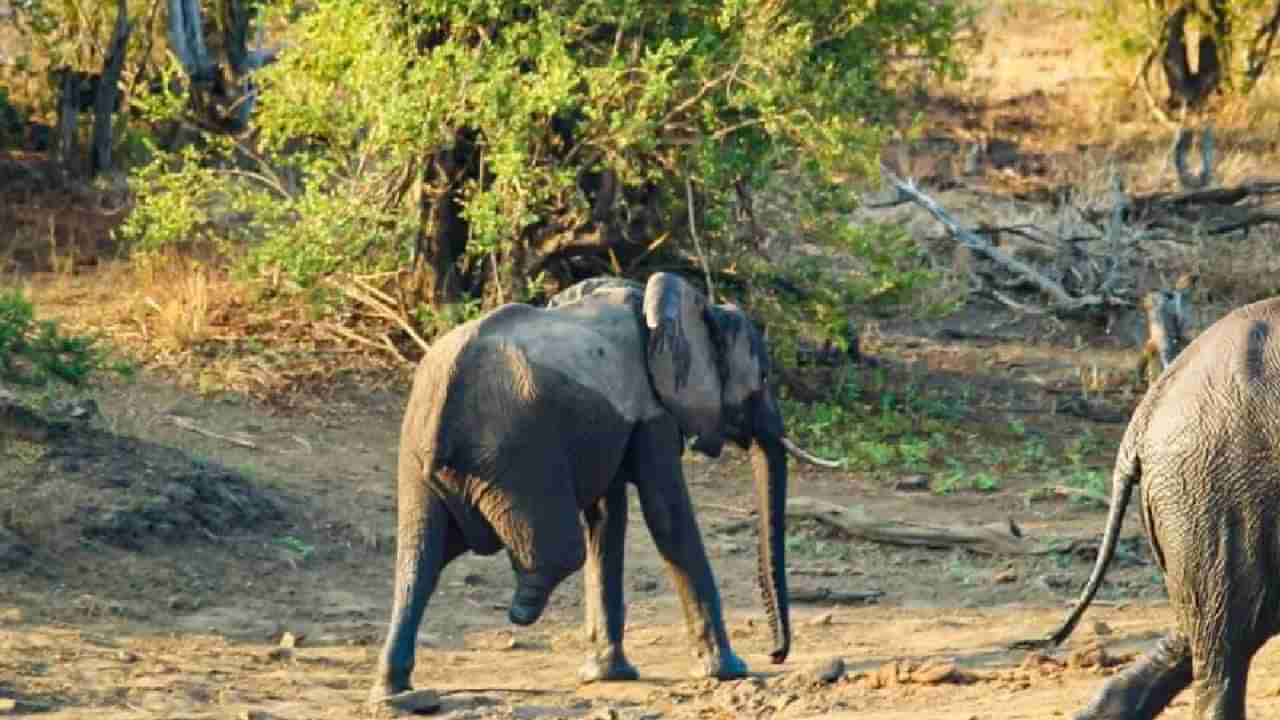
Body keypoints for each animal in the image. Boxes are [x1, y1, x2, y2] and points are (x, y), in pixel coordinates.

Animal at [373, 271, 829, 702]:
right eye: (763, 379)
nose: (776, 654)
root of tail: (445, 394)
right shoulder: (653, 414)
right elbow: (666, 516)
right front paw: (730, 670)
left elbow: (608, 519)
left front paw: (607, 675)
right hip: (516, 450)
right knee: (559, 550)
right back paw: (522, 610)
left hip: (420, 456)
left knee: (419, 557)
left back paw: (393, 691)